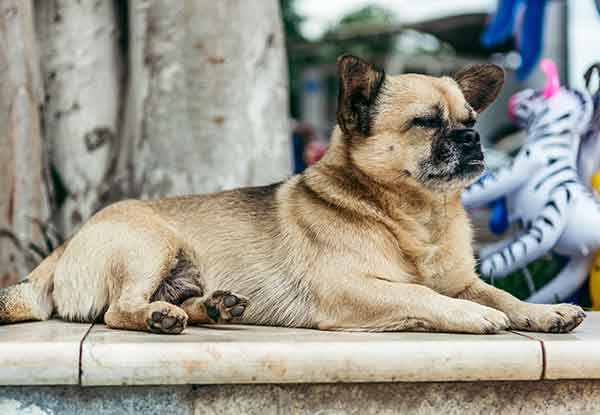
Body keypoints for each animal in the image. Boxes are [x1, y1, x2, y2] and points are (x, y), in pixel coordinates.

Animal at [0, 54, 584, 334]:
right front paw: (472, 317)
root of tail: (64, 248)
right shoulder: (352, 288)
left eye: (469, 120)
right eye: (425, 122)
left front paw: (542, 312)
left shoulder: (465, 281)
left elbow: (503, 295)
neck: (416, 217)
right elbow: (424, 296)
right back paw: (158, 318)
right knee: (118, 311)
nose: (473, 139)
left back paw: (213, 307)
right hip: (150, 243)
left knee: (182, 302)